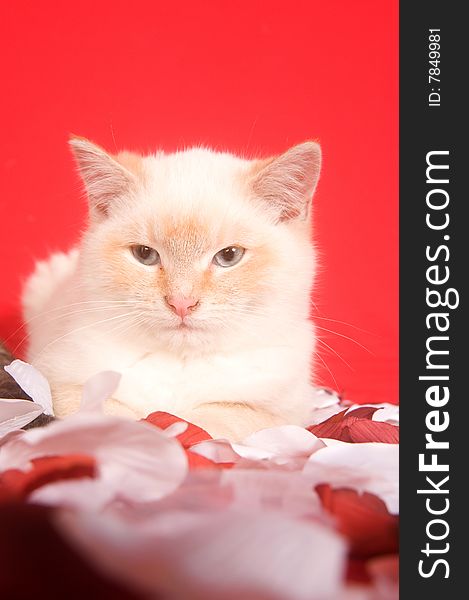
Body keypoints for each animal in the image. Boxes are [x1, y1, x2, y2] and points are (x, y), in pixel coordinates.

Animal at [22, 137, 322, 440]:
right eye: (144, 254)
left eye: (229, 256)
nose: (181, 302)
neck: (181, 362)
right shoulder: (62, 384)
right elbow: (106, 418)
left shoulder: (282, 413)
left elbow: (209, 422)